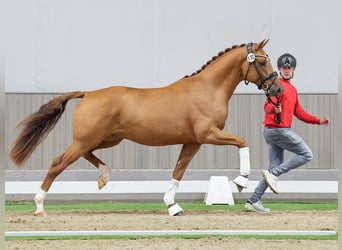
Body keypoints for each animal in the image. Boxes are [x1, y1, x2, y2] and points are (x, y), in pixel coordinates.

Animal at [10, 39, 280, 215]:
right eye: (262, 63)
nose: (277, 89)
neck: (208, 89)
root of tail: (88, 94)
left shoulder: (193, 141)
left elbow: (179, 171)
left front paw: (172, 205)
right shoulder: (208, 134)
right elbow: (243, 141)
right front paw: (240, 181)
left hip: (107, 139)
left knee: (86, 155)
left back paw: (104, 177)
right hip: (86, 140)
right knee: (58, 163)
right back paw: (39, 205)